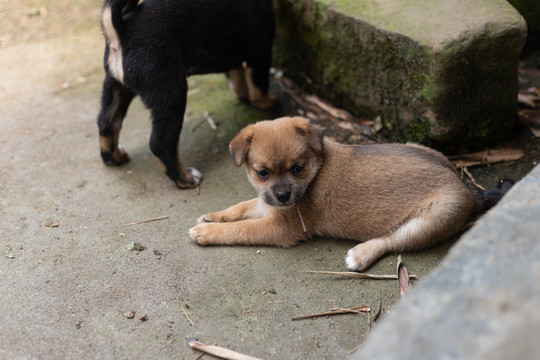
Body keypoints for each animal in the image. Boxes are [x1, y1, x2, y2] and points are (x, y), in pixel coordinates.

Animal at [96, 0, 274, 188]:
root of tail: (121, 32)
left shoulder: (232, 54)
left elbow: (237, 76)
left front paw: (243, 94)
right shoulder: (261, 51)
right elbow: (259, 84)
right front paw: (267, 102)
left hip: (115, 88)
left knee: (106, 123)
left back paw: (115, 157)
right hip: (171, 96)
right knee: (161, 143)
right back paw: (185, 179)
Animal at [189, 116, 510, 272]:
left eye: (298, 168)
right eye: (262, 172)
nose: (283, 196)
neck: (316, 169)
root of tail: (467, 187)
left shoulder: (281, 228)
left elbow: (242, 228)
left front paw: (207, 233)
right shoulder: (268, 205)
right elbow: (242, 207)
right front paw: (213, 217)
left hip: (432, 219)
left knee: (392, 239)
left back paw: (360, 254)